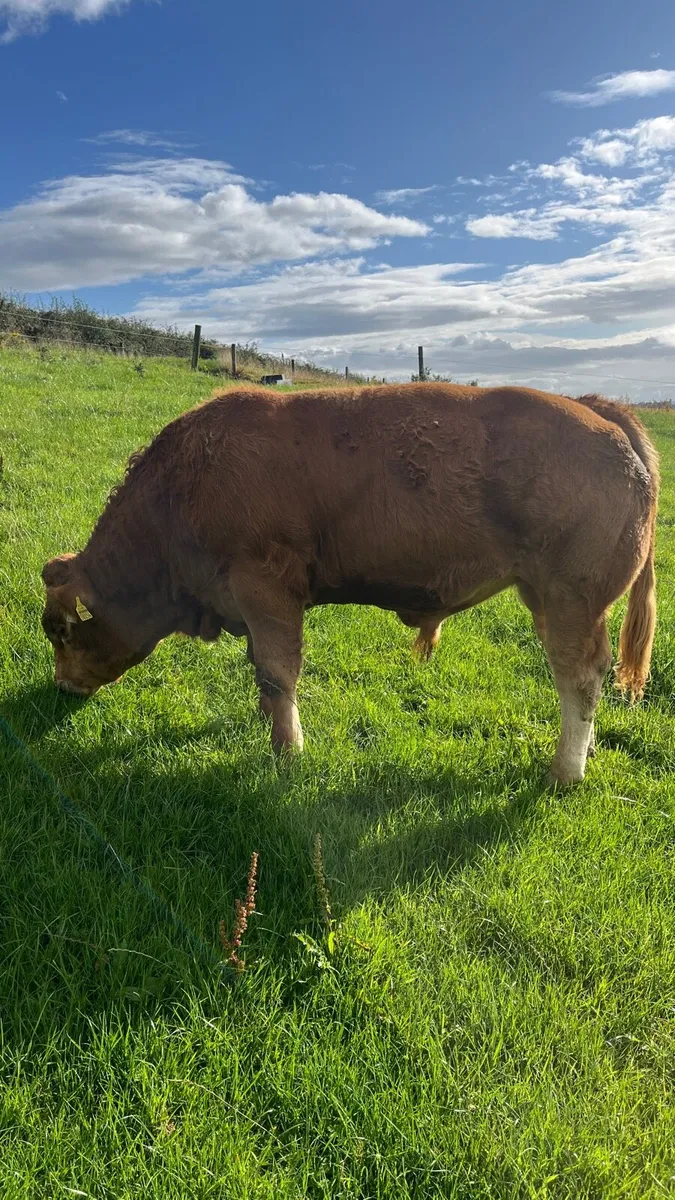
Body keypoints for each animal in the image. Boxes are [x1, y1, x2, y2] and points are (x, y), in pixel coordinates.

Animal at [41, 383, 659, 785]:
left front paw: (288, 751)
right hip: (547, 599)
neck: (183, 485)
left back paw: (565, 771)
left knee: (579, 677)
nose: (63, 686)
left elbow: (278, 669)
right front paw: (266, 722)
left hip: (572, 599)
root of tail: (598, 411)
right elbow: (261, 669)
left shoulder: (266, 590)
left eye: (61, 631)